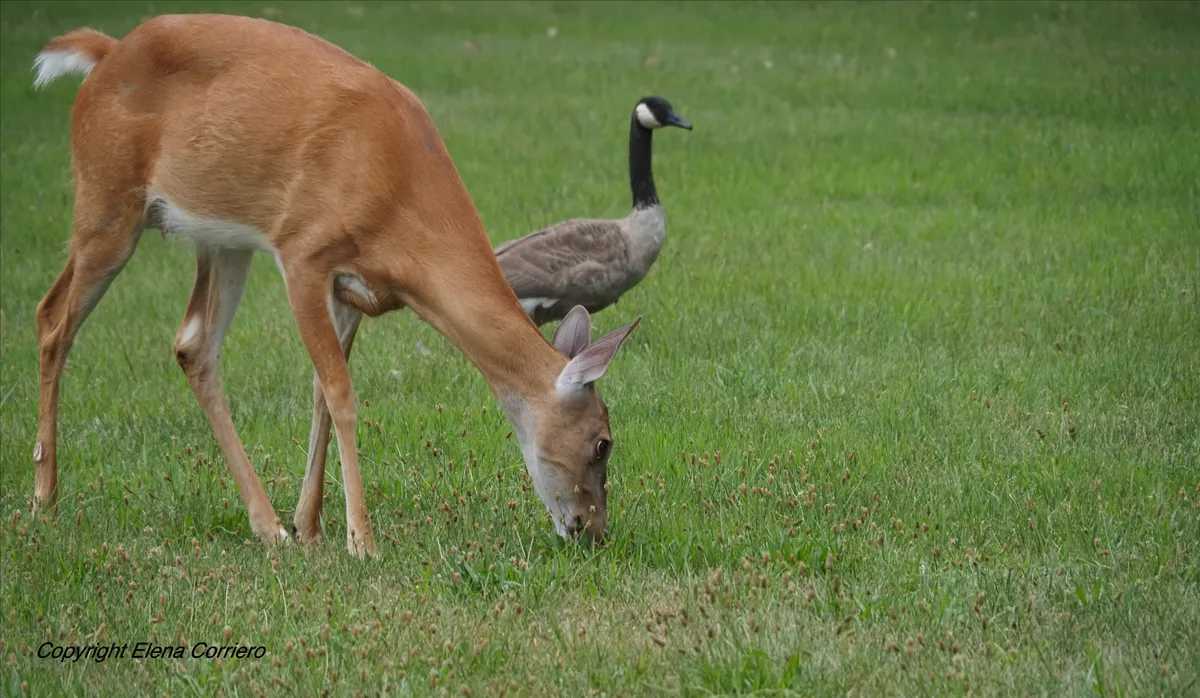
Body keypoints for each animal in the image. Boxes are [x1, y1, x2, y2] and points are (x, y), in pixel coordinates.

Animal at [30, 14, 640, 558]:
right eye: (602, 442)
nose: (592, 531)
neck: (398, 204)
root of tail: (104, 55)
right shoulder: (302, 251)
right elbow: (343, 393)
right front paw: (360, 540)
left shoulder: (353, 291)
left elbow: (321, 392)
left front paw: (310, 525)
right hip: (107, 199)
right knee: (52, 317)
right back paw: (44, 499)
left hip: (220, 240)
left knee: (192, 344)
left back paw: (268, 526)